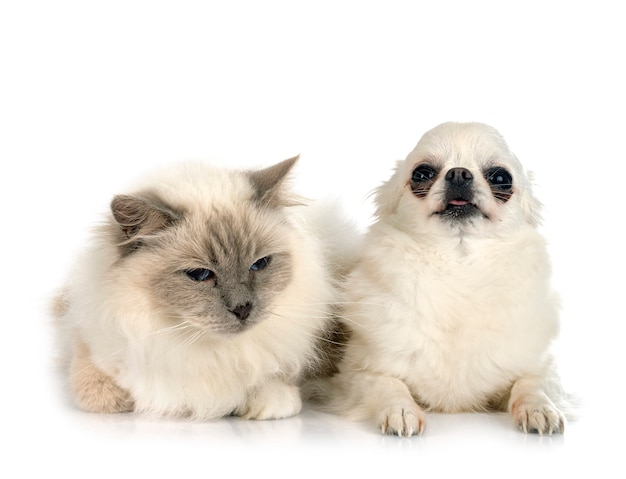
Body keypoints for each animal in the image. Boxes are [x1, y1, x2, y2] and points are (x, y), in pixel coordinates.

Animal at [314, 122, 572, 436]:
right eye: (422, 174)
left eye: (501, 178)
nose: (459, 173)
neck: (459, 269)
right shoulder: (354, 375)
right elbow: (388, 383)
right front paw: (401, 410)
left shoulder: (541, 365)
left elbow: (532, 382)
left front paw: (539, 409)